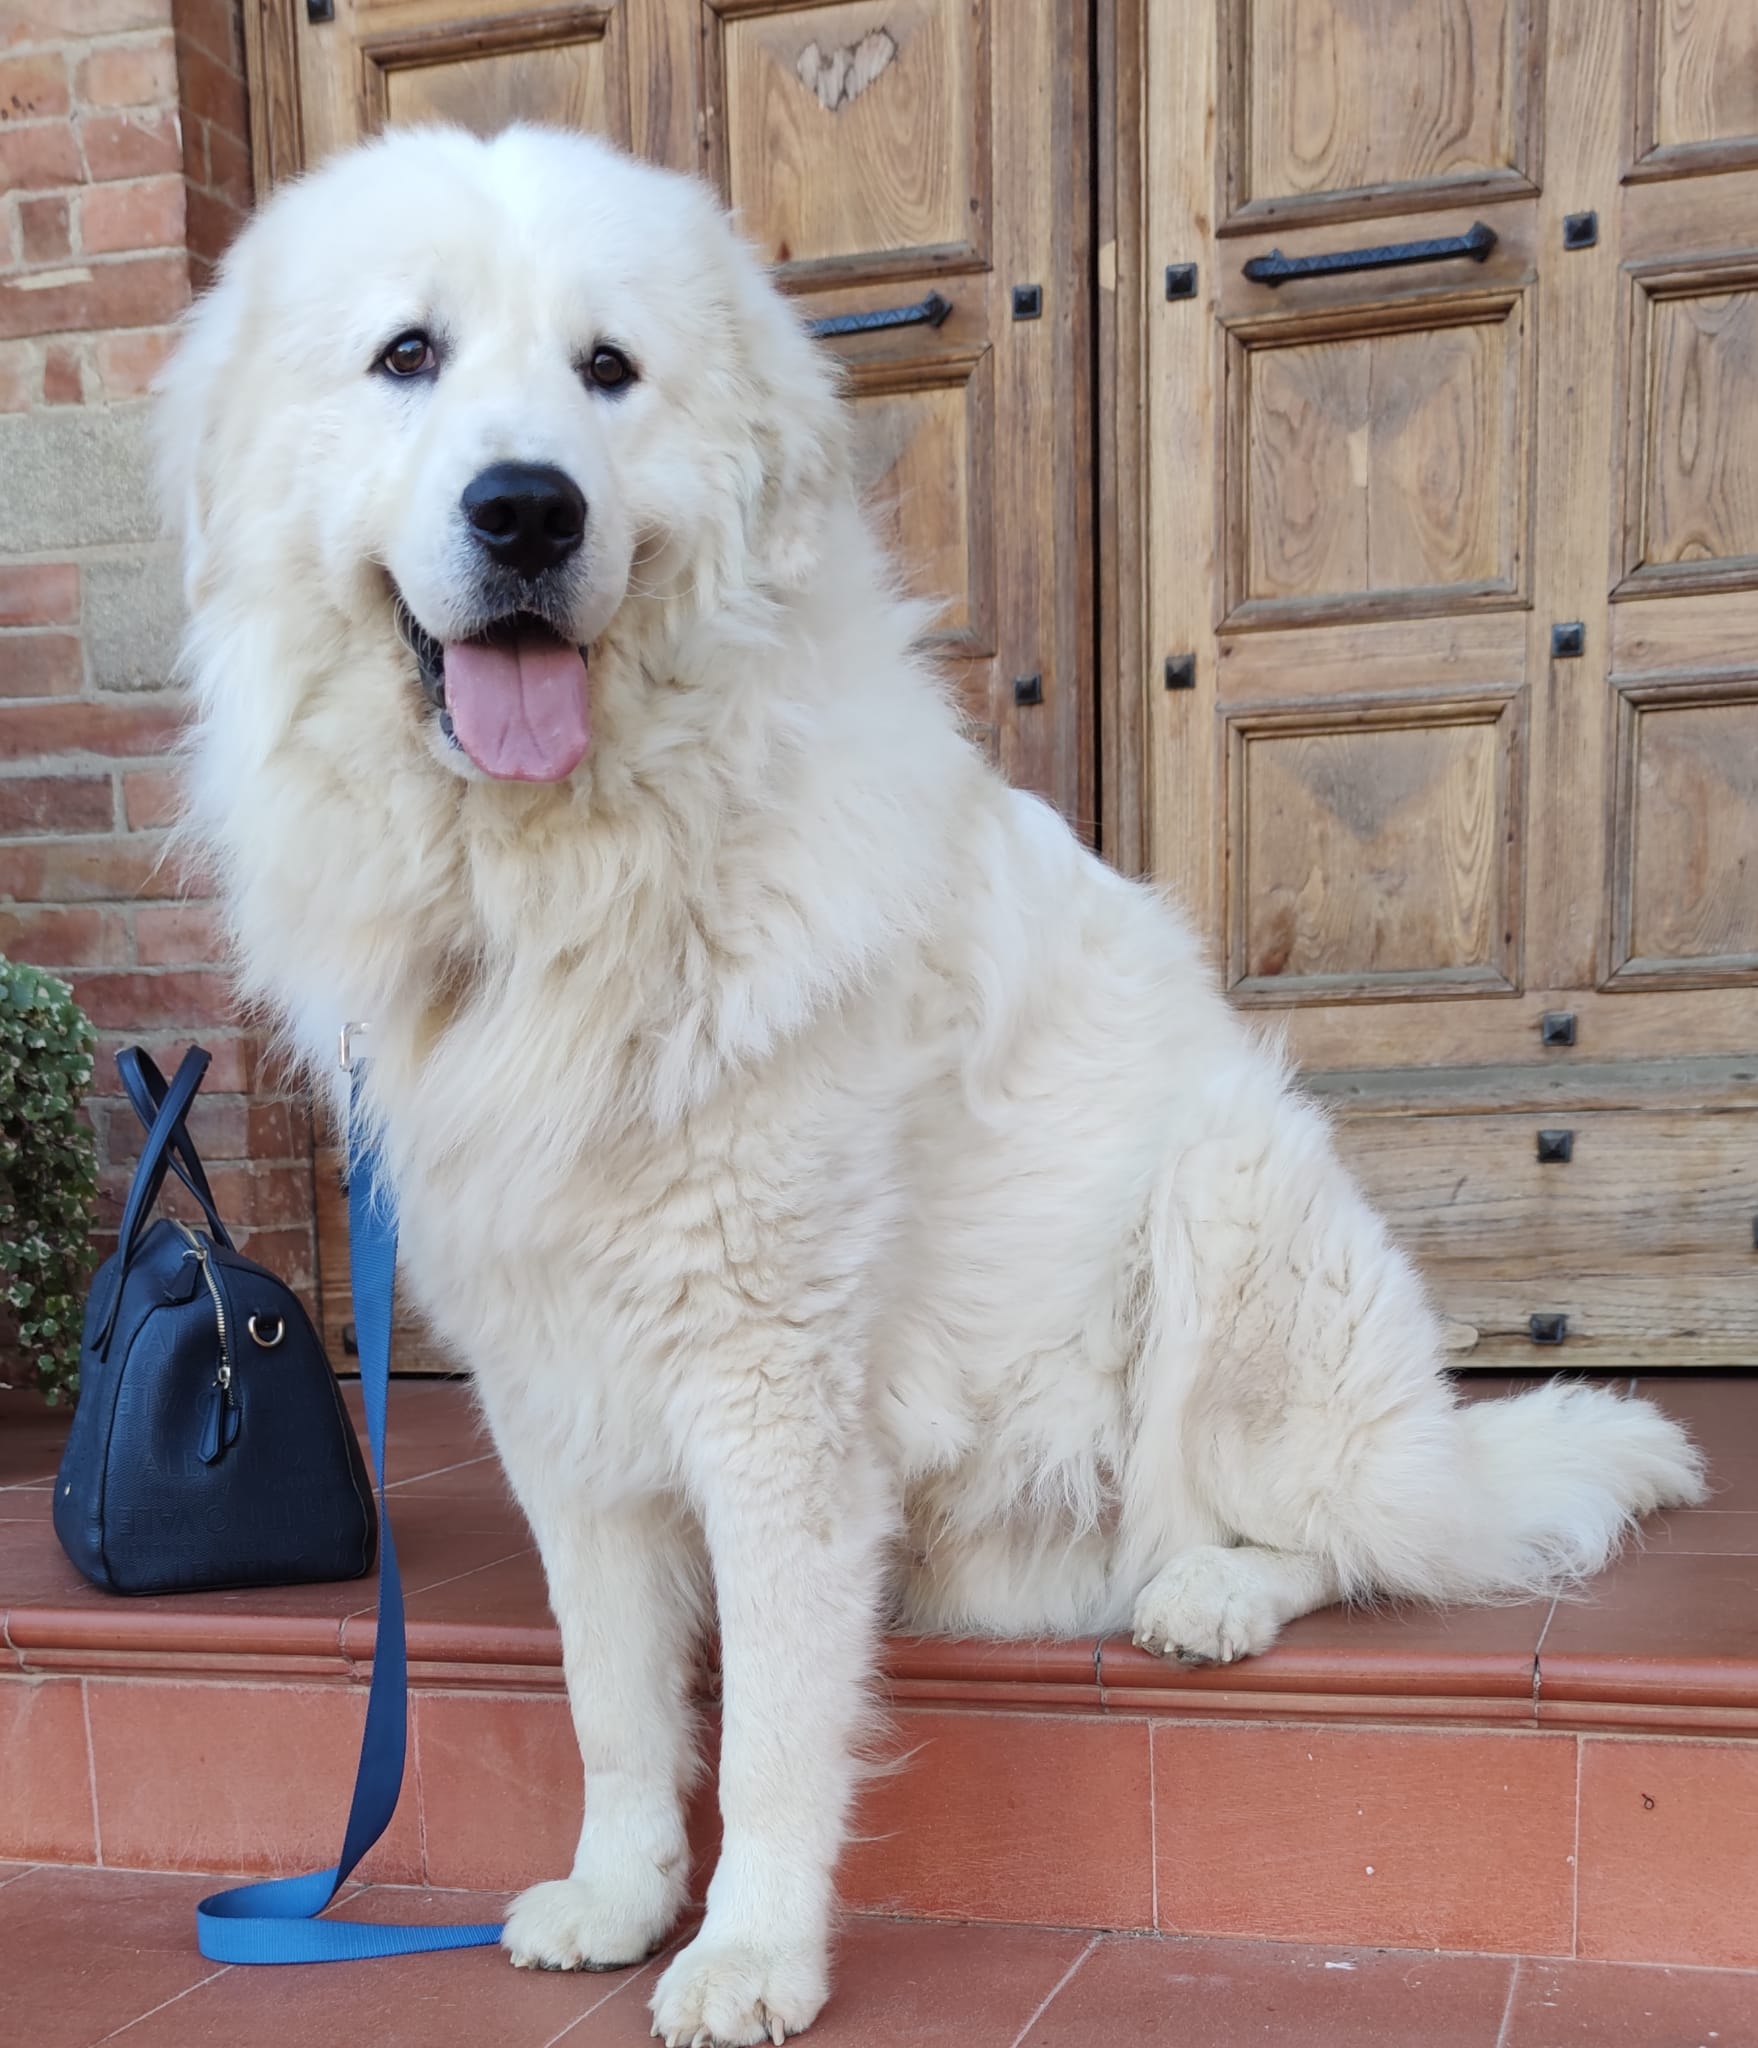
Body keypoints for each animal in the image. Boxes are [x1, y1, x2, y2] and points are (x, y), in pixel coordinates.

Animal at [158, 124, 1705, 2046]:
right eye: (405, 357)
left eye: (609, 371)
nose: (527, 509)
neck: (570, 883)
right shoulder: (554, 1391)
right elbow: (612, 1692)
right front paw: (620, 1894)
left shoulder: (769, 1393)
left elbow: (765, 1728)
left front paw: (748, 1950)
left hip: (1234, 1217)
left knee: (1349, 1533)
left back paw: (1211, 1592)